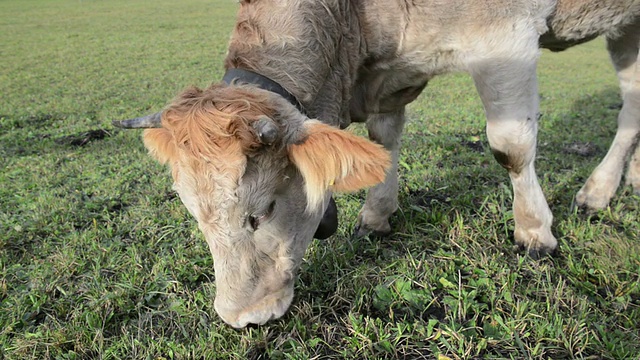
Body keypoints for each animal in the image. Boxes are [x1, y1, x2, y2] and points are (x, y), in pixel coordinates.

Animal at [114, 0, 640, 328]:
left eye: (262, 210)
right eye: (193, 214)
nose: (241, 317)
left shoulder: (504, 38)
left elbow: (510, 147)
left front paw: (534, 232)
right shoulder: (389, 74)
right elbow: (383, 139)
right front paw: (376, 215)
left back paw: (596, 192)